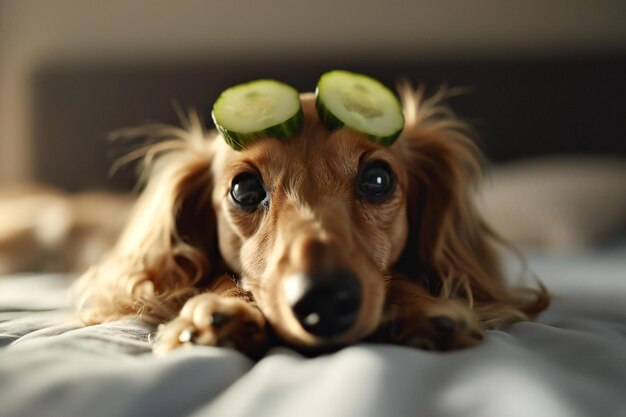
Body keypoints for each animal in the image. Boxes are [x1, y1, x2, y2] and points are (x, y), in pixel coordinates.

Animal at [75, 83, 548, 356]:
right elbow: (216, 277)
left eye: (378, 179)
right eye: (244, 189)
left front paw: (425, 308)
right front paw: (219, 309)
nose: (324, 302)